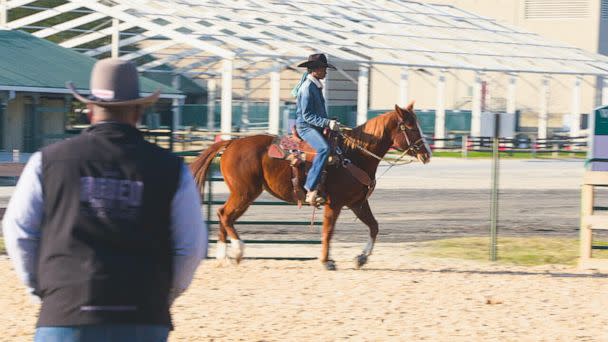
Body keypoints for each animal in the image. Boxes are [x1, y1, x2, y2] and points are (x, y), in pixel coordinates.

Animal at [191, 101, 432, 270]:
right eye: (410, 127)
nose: (427, 154)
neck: (353, 155)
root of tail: (231, 142)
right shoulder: (335, 204)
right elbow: (328, 231)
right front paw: (327, 261)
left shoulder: (357, 203)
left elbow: (374, 226)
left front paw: (361, 258)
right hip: (244, 193)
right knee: (225, 215)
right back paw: (238, 251)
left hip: (244, 194)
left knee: (224, 215)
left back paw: (223, 256)